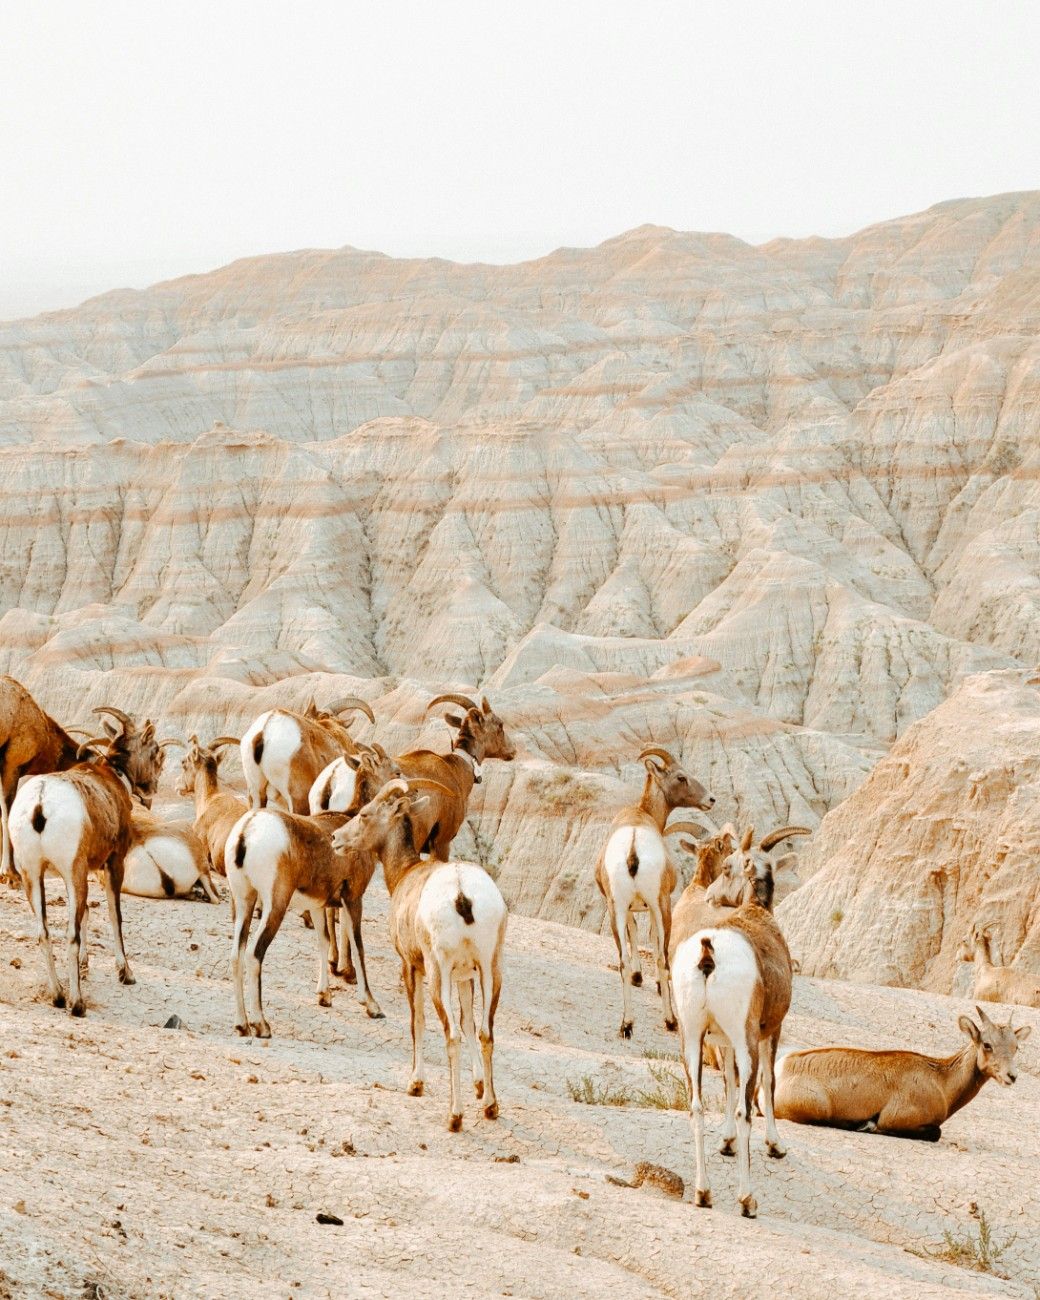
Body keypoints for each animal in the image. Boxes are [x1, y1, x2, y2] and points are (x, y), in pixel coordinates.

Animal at [332, 774, 506, 1133]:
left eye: (365, 814)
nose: (335, 839)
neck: (406, 873)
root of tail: (462, 893)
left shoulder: (411, 967)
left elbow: (418, 1021)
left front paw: (415, 1084)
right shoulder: (466, 976)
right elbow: (469, 1024)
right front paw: (479, 1087)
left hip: (439, 973)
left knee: (450, 1034)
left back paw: (454, 1116)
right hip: (490, 970)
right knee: (486, 1031)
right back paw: (490, 1107)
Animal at [592, 748, 717, 1040]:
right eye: (681, 777)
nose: (710, 799)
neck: (641, 815)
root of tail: (633, 848)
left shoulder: (626, 907)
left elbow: (633, 934)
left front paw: (638, 978)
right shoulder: (653, 905)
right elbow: (649, 938)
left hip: (616, 908)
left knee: (623, 961)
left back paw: (627, 1025)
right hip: (662, 907)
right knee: (662, 958)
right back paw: (670, 1021)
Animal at [769, 1003, 1029, 1138]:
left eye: (1016, 1047)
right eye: (987, 1044)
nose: (1011, 1076)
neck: (941, 1082)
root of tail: (783, 1066)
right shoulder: (897, 1118)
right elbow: (934, 1133)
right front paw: (869, 1125)